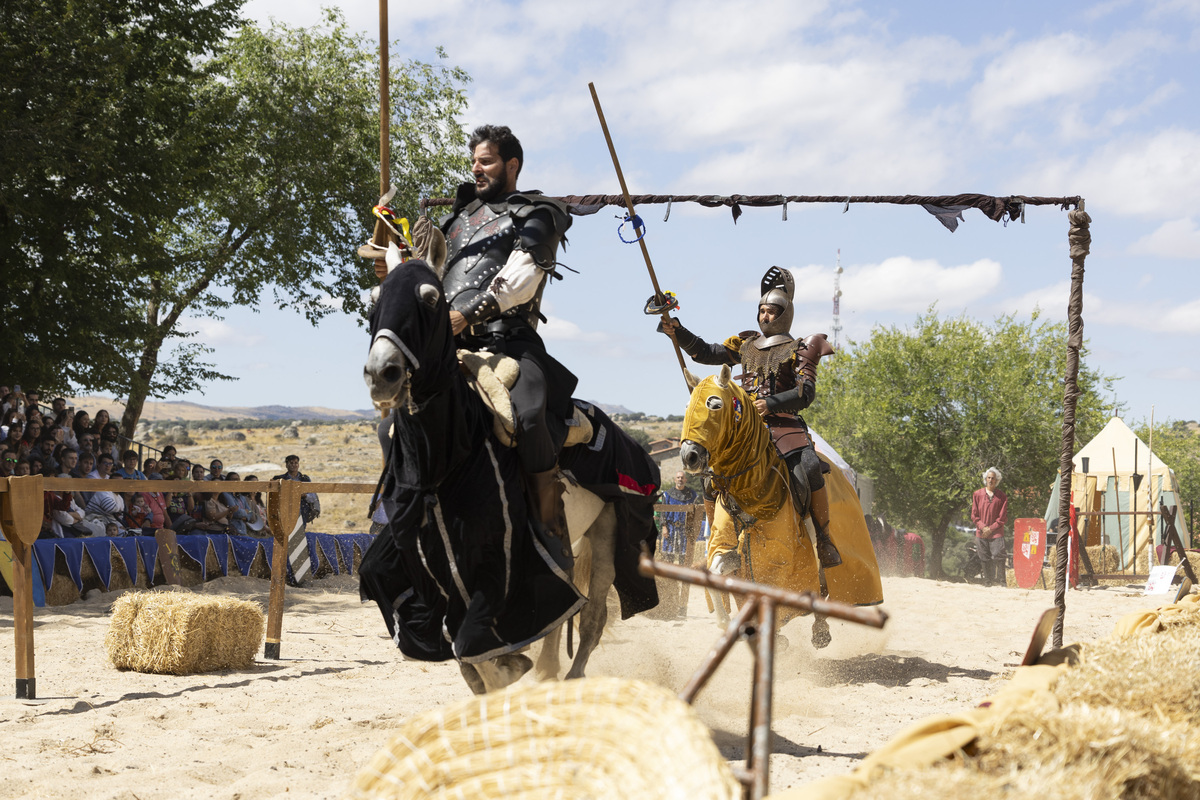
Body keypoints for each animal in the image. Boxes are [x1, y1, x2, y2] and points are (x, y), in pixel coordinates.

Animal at [360, 257, 662, 695]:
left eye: (431, 299)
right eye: (374, 299)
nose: (381, 372)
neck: (452, 459)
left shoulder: (499, 567)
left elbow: (477, 645)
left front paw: (509, 667)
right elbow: (458, 645)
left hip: (608, 532)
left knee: (592, 616)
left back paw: (568, 678)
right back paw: (548, 669)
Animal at [681, 367, 888, 633]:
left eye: (715, 404)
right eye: (688, 405)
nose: (689, 456)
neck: (754, 486)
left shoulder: (781, 554)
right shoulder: (730, 545)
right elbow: (717, 572)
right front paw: (727, 622)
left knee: (823, 579)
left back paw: (820, 630)